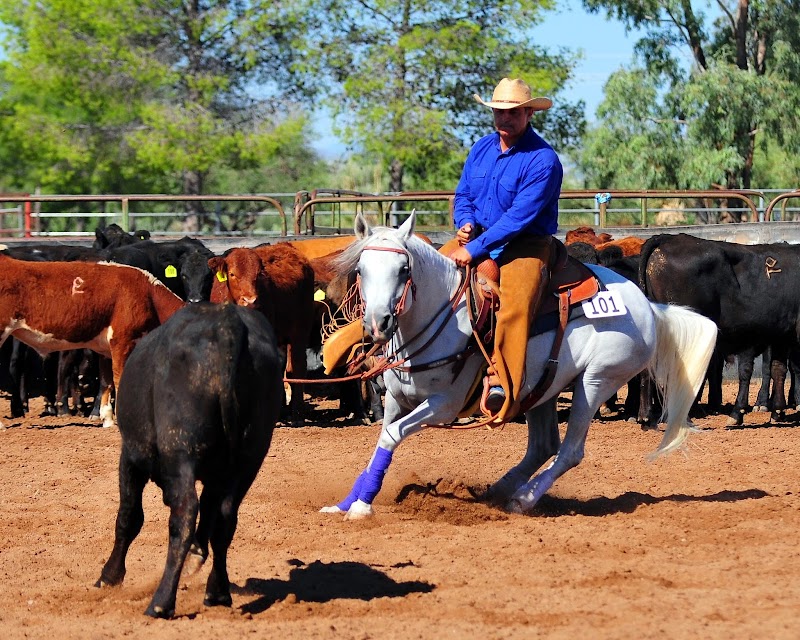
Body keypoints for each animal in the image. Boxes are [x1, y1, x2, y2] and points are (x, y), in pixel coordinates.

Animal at [320, 211, 718, 519]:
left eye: (404, 269)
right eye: (361, 268)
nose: (378, 323)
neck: (439, 318)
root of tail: (649, 307)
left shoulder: (443, 405)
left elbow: (390, 436)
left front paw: (362, 507)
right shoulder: (395, 399)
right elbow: (380, 442)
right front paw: (346, 502)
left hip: (596, 382)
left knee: (570, 451)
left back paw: (523, 498)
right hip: (541, 387)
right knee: (543, 446)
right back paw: (498, 491)